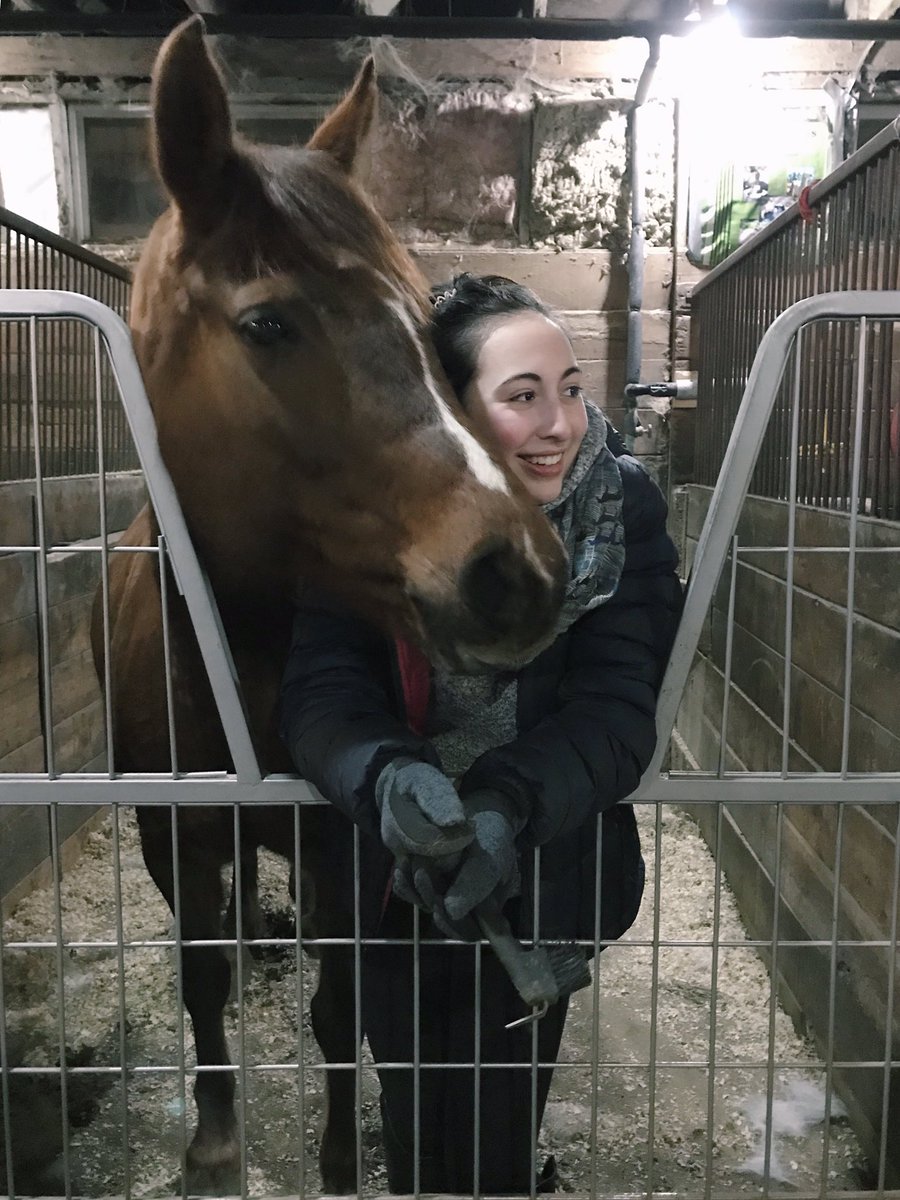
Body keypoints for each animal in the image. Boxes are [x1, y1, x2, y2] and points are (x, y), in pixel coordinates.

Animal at [92, 15, 568, 1190]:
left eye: (423, 318)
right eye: (267, 323)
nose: (516, 570)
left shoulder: (349, 847)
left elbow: (339, 1006)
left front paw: (344, 1158)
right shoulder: (172, 832)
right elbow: (202, 974)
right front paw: (215, 1141)